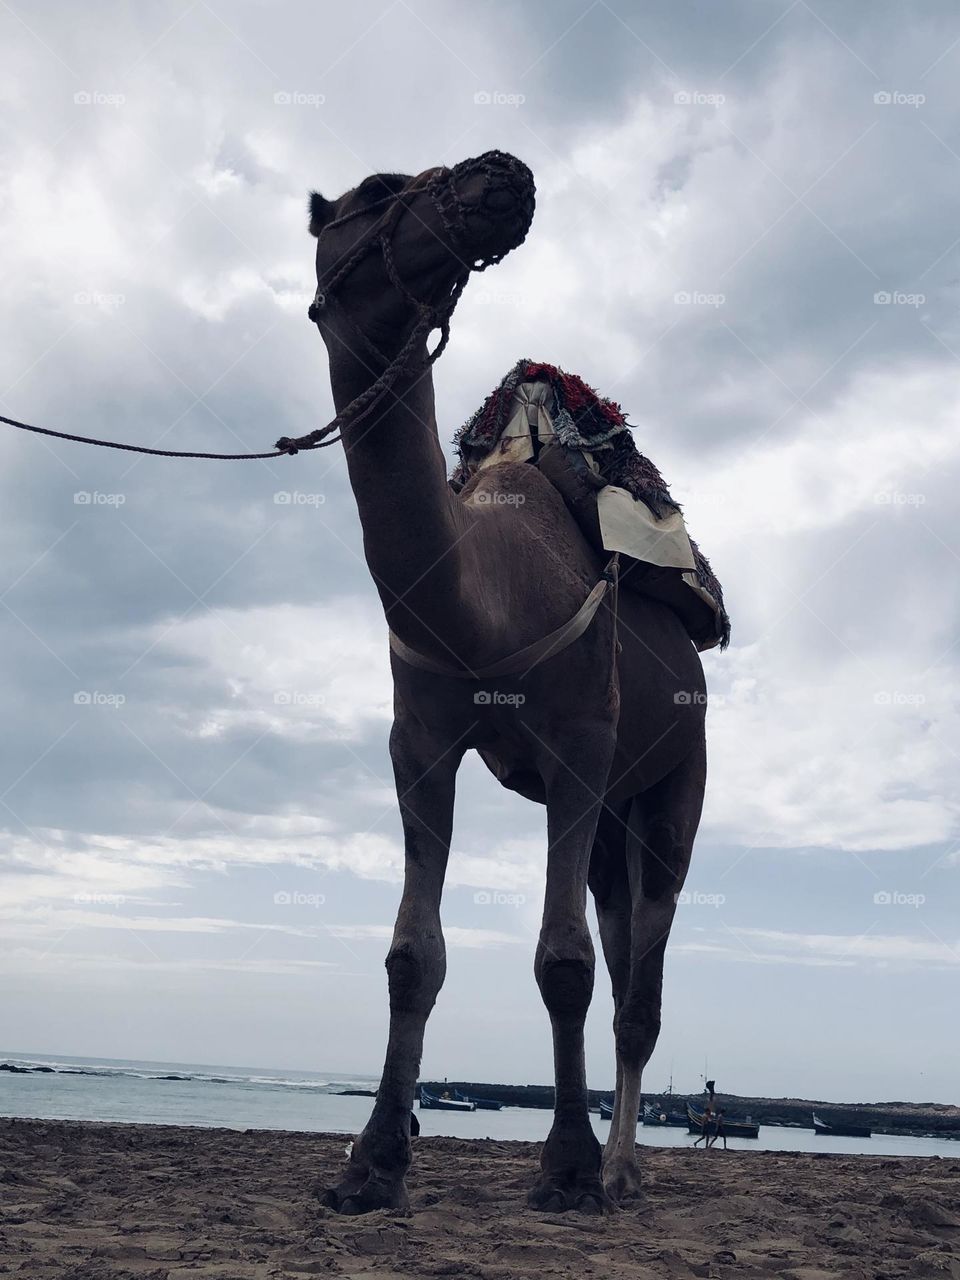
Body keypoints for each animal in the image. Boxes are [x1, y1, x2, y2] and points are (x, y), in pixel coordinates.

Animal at [302, 151, 708, 1214]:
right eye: (375, 188)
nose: (503, 171)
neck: (479, 597)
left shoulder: (580, 743)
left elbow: (562, 961)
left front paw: (564, 1167)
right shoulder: (420, 744)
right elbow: (412, 953)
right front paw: (372, 1163)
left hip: (674, 779)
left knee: (641, 979)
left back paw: (620, 1168)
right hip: (611, 818)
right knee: (620, 937)